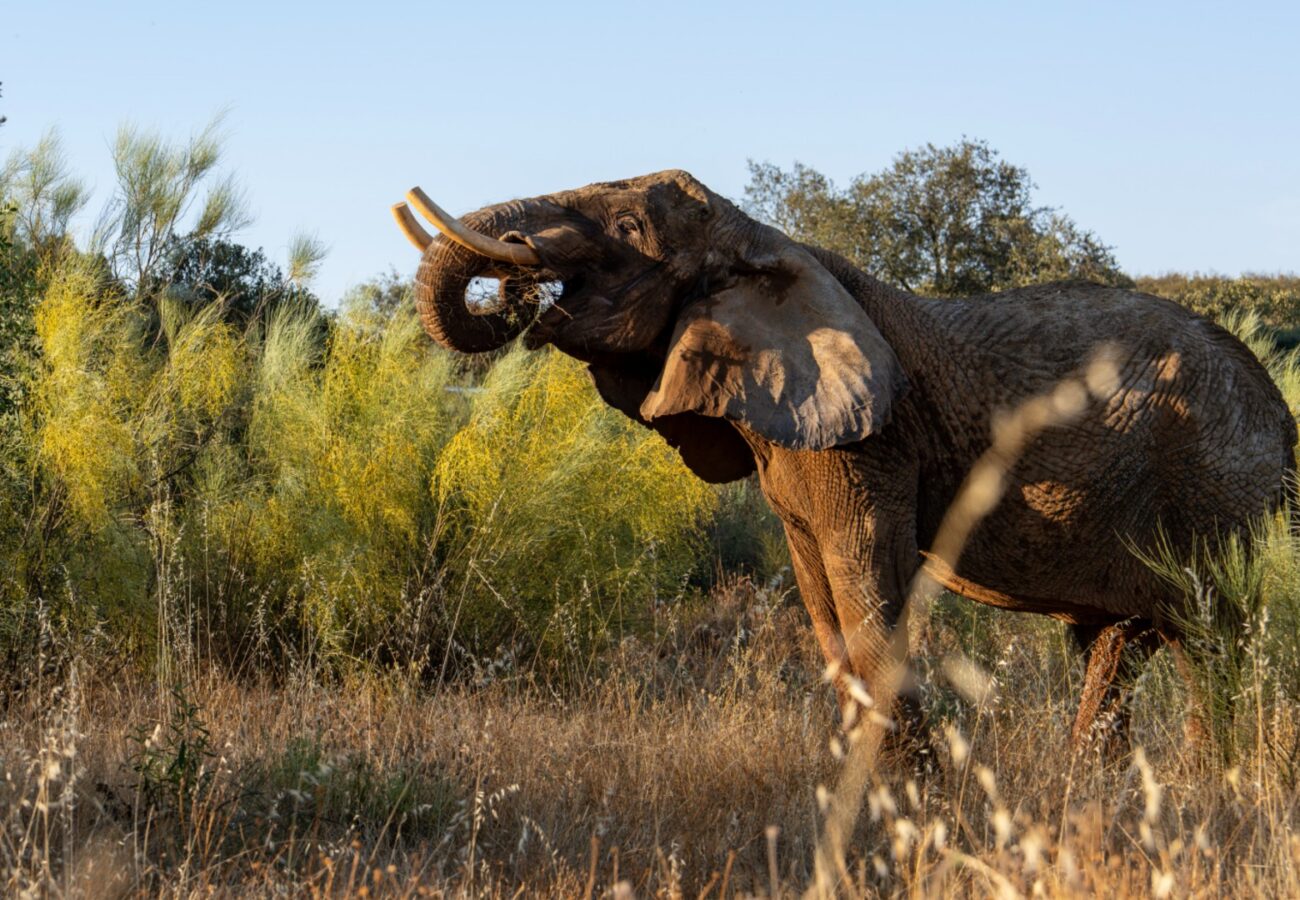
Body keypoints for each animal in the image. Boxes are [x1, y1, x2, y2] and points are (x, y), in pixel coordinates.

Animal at [390, 170, 1296, 750]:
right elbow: (825, 609)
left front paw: (920, 826)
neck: (769, 243)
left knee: (1215, 649)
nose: (518, 274)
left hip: (1221, 496)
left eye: (629, 231)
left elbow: (868, 595)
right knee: (1117, 653)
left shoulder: (871, 441)